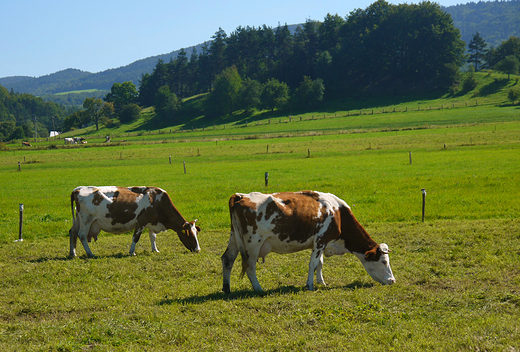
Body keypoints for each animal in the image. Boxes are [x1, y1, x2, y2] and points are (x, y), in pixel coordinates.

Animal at [69, 186, 199, 258]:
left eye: (196, 233)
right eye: (189, 234)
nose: (198, 250)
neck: (157, 200)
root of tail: (78, 189)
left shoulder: (152, 222)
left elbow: (153, 237)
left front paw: (155, 249)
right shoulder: (141, 222)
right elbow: (135, 238)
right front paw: (132, 252)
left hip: (78, 219)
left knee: (72, 232)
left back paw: (73, 253)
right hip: (86, 220)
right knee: (82, 235)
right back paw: (90, 253)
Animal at [221, 191, 396, 292]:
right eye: (383, 261)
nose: (392, 280)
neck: (338, 213)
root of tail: (241, 196)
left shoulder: (321, 244)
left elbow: (320, 264)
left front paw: (321, 282)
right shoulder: (320, 241)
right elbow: (313, 264)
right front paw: (310, 285)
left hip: (235, 238)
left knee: (227, 259)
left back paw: (226, 288)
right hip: (253, 243)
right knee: (250, 266)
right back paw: (259, 289)